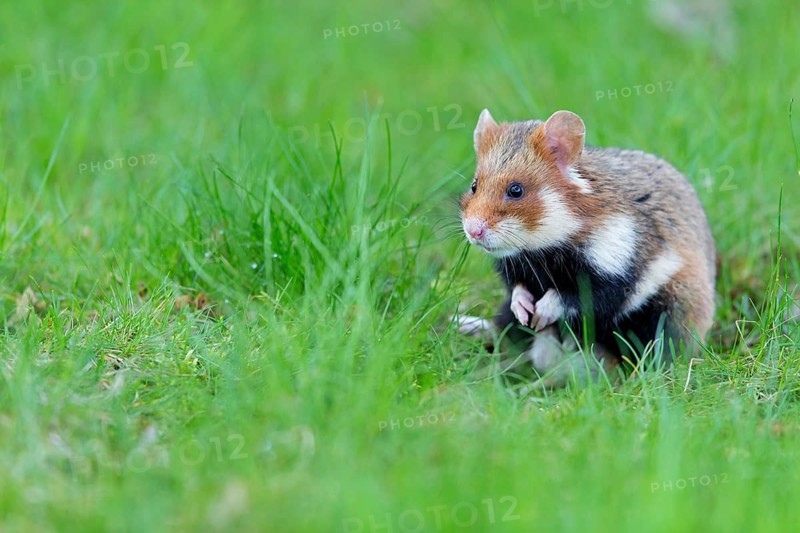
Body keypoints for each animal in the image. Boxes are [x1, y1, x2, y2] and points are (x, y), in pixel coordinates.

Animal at [458, 109, 716, 386]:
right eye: (474, 185)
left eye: (516, 190)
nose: (473, 232)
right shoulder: (517, 268)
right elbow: (518, 289)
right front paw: (525, 311)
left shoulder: (616, 275)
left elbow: (572, 297)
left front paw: (541, 314)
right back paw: (464, 325)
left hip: (669, 310)